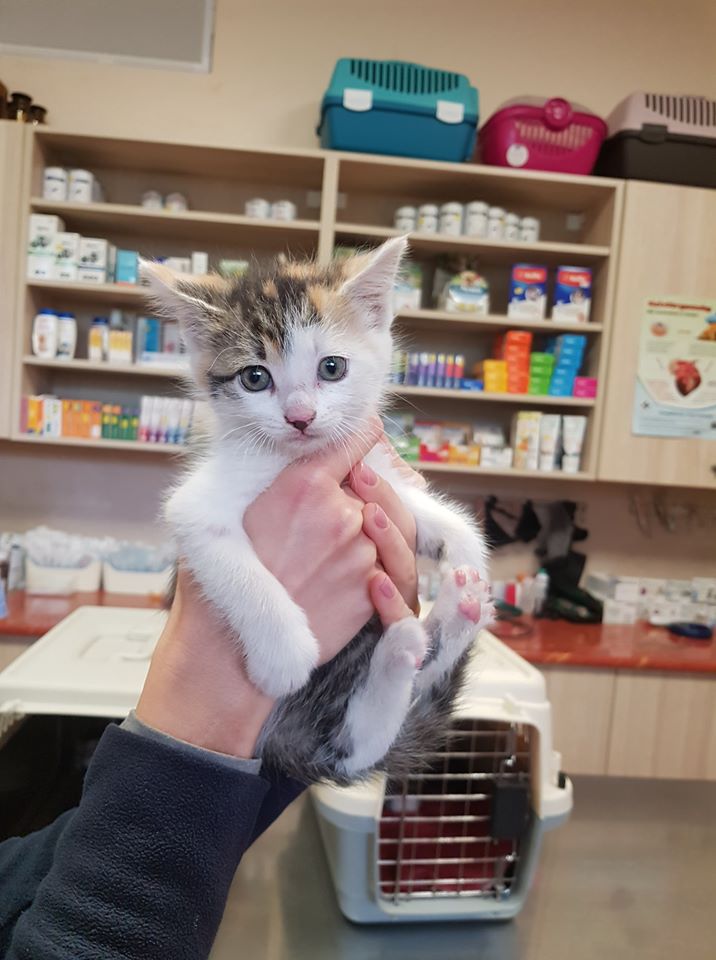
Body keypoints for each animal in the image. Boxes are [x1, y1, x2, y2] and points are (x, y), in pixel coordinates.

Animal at [143, 237, 493, 786]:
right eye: (255, 377)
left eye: (332, 368)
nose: (300, 417)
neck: (300, 457)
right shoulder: (195, 507)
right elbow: (235, 567)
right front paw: (284, 657)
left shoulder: (369, 470)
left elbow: (421, 509)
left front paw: (466, 547)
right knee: (351, 748)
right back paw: (406, 646)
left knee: (368, 735)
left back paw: (456, 614)